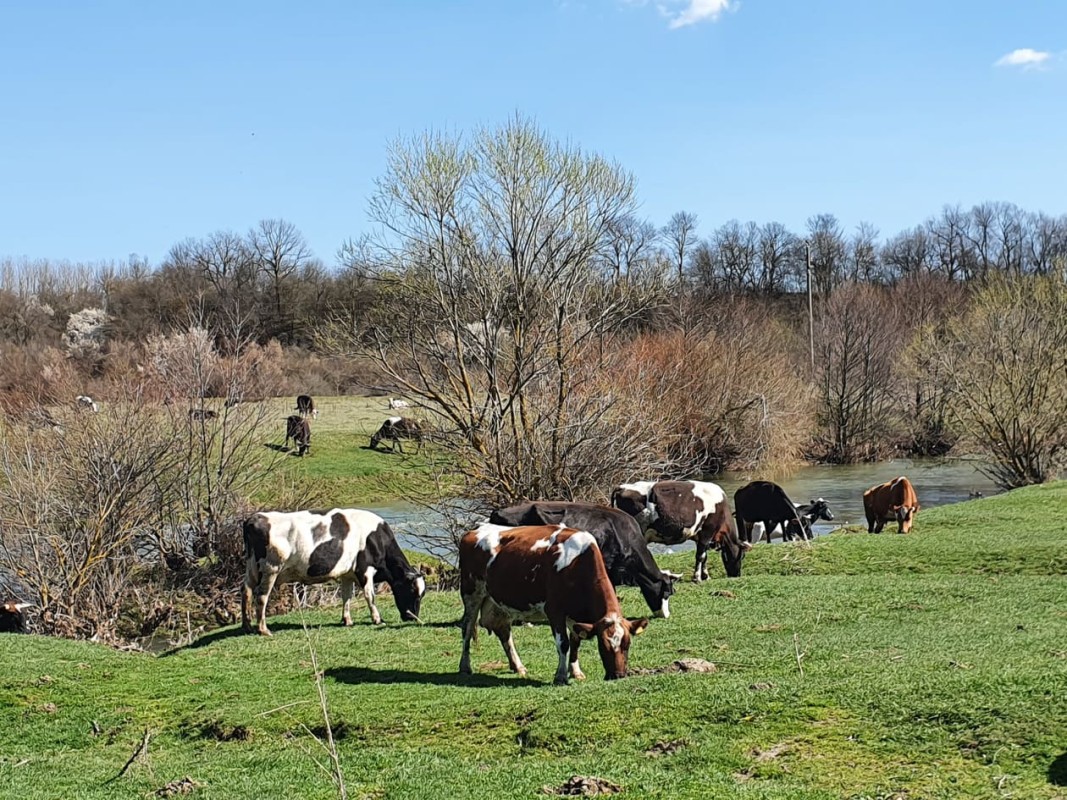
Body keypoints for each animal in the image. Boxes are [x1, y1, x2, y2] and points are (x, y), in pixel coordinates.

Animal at [454, 522, 644, 686]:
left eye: (627, 645)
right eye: (603, 646)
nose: (618, 675)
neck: (577, 563)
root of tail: (476, 529)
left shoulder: (576, 616)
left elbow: (576, 642)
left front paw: (576, 672)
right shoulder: (554, 610)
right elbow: (564, 643)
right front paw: (560, 676)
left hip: (498, 603)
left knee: (503, 630)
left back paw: (518, 666)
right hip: (471, 593)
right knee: (467, 628)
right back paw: (465, 666)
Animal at [610, 482, 751, 584]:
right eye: (742, 556)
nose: (736, 575)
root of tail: (623, 486)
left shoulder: (699, 536)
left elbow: (704, 556)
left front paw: (706, 576)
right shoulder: (707, 531)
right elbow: (700, 556)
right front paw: (697, 578)